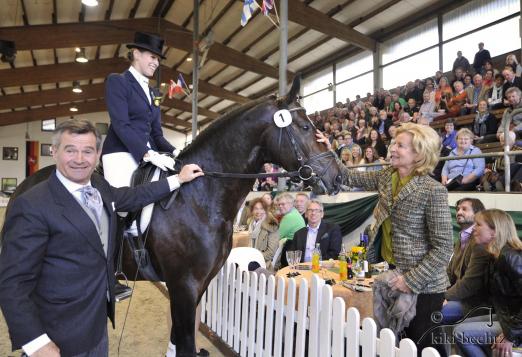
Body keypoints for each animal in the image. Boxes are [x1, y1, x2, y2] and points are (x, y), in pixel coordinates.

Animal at [7, 76, 342, 354]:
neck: (201, 196)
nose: (338, 177)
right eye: (305, 127)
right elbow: (185, 343)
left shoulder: (200, 283)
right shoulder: (183, 284)